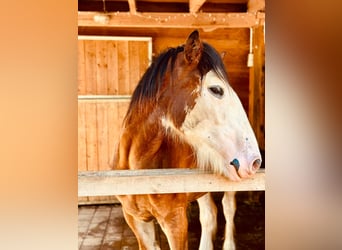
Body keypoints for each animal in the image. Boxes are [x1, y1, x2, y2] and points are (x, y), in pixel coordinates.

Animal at [113, 29, 262, 250]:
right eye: (216, 89)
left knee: (228, 209)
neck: (139, 171)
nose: (255, 161)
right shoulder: (137, 221)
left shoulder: (175, 222)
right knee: (209, 216)